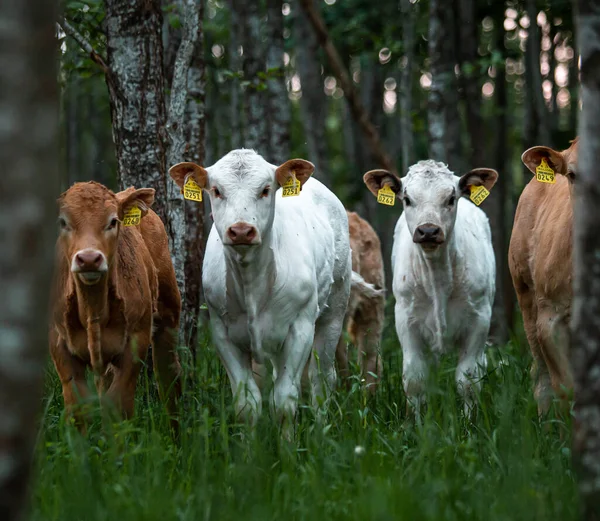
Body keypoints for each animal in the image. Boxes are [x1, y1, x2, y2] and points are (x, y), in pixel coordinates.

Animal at [50, 181, 182, 424]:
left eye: (113, 221)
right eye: (63, 222)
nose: (89, 259)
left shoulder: (136, 339)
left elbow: (118, 405)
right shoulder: (59, 344)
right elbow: (78, 408)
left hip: (168, 315)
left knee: (169, 379)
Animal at [170, 148, 352, 424]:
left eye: (266, 189)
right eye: (216, 190)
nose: (241, 230)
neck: (252, 284)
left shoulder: (300, 328)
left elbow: (284, 401)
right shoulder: (222, 332)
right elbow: (247, 404)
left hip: (334, 310)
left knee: (322, 380)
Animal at [364, 160, 500, 412]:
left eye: (451, 198)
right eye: (407, 198)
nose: (428, 231)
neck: (438, 279)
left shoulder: (479, 320)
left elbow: (468, 380)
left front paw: (471, 420)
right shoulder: (406, 321)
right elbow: (415, 380)